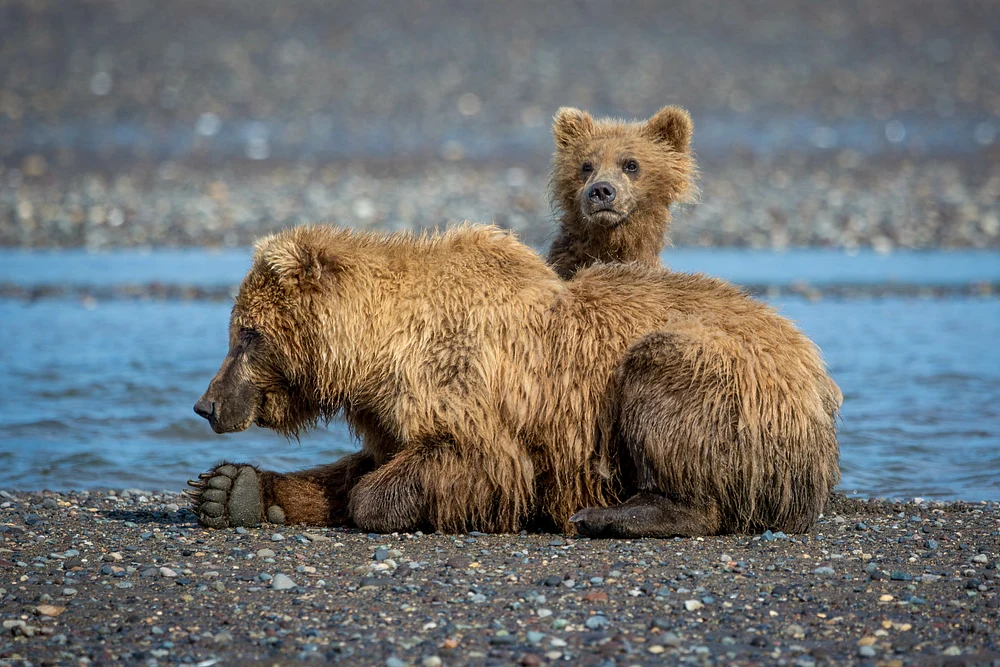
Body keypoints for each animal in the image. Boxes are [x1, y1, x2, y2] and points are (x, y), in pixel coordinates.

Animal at [188, 224, 841, 538]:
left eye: (246, 334)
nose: (206, 405)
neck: (378, 352)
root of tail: (820, 379)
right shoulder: (389, 410)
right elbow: (363, 463)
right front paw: (232, 490)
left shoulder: (472, 388)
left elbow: (471, 462)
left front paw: (373, 502)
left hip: (731, 383)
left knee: (665, 380)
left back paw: (615, 515)